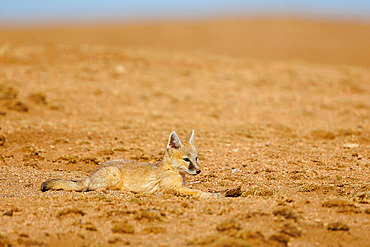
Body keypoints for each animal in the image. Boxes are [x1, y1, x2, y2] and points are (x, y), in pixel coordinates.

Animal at [40, 130, 220, 200]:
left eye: (196, 158)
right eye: (186, 160)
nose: (199, 171)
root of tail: (90, 175)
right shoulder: (175, 189)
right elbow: (197, 192)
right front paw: (213, 196)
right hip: (112, 176)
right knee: (93, 189)